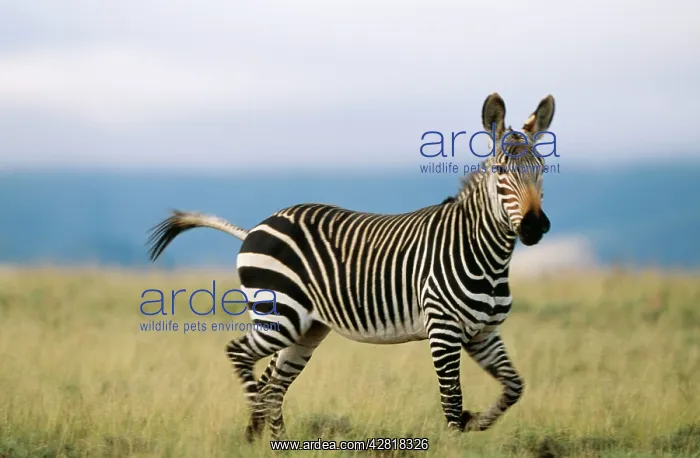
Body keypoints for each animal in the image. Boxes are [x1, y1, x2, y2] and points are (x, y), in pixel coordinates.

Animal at [147, 92, 555, 441]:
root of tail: (255, 228)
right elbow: (452, 402)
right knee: (242, 357)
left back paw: (273, 441)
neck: (487, 256)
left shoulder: (483, 334)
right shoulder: (444, 330)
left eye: (543, 169)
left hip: (305, 328)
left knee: (274, 385)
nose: (534, 227)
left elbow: (514, 387)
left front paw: (477, 421)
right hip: (280, 316)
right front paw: (459, 437)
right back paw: (260, 428)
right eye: (500, 172)